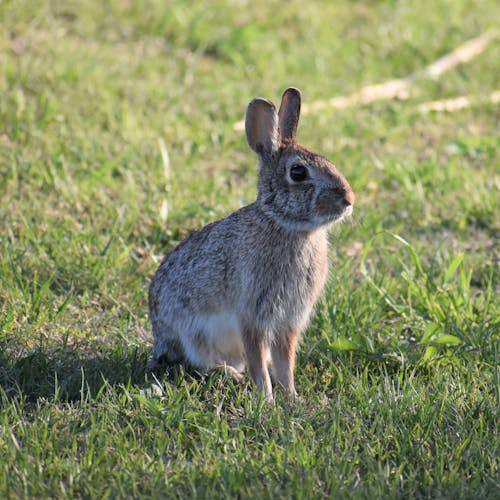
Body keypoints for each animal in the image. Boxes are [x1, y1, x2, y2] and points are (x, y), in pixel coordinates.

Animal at [146, 88, 354, 402]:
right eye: (298, 172)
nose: (349, 199)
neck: (286, 225)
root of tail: (160, 340)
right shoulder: (252, 315)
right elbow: (257, 359)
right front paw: (267, 400)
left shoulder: (288, 321)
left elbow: (285, 361)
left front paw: (292, 397)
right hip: (195, 335)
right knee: (199, 363)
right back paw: (227, 374)